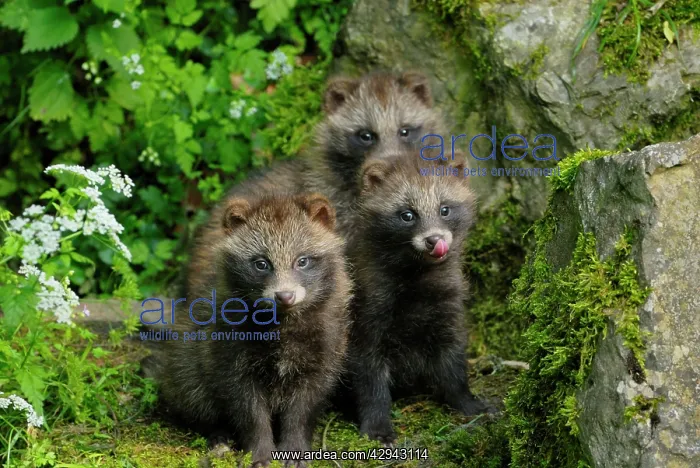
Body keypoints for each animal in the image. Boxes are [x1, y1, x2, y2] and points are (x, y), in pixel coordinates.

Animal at [149, 193, 351, 467]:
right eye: (261, 263)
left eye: (302, 261)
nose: (285, 296)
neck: (282, 322)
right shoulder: (228, 345)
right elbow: (247, 406)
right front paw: (259, 450)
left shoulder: (326, 344)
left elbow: (305, 404)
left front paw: (295, 446)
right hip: (185, 359)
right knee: (193, 391)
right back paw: (216, 432)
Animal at [345, 152, 489, 444]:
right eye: (407, 214)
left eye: (445, 209)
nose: (434, 239)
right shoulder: (366, 321)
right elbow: (370, 382)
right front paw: (377, 428)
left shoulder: (449, 314)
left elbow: (454, 366)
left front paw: (470, 404)